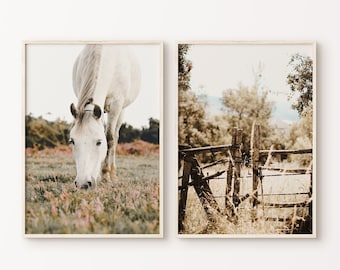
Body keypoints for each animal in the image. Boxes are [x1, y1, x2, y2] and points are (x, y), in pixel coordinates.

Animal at [69, 44, 140, 188]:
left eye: (99, 142)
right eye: (72, 141)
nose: (83, 183)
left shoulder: (116, 105)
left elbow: (110, 138)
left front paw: (106, 175)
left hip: (122, 110)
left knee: (115, 136)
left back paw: (112, 174)